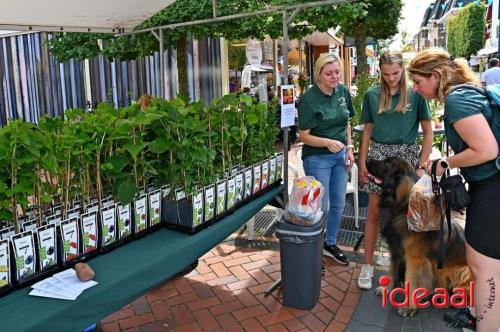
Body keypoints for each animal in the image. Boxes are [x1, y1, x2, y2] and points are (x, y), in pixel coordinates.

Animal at [366, 157, 470, 318]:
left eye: (386, 163)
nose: (366, 160)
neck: (402, 209)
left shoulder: (415, 258)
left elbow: (411, 280)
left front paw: (409, 307)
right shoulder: (396, 250)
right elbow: (392, 270)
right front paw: (388, 288)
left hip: (463, 270)